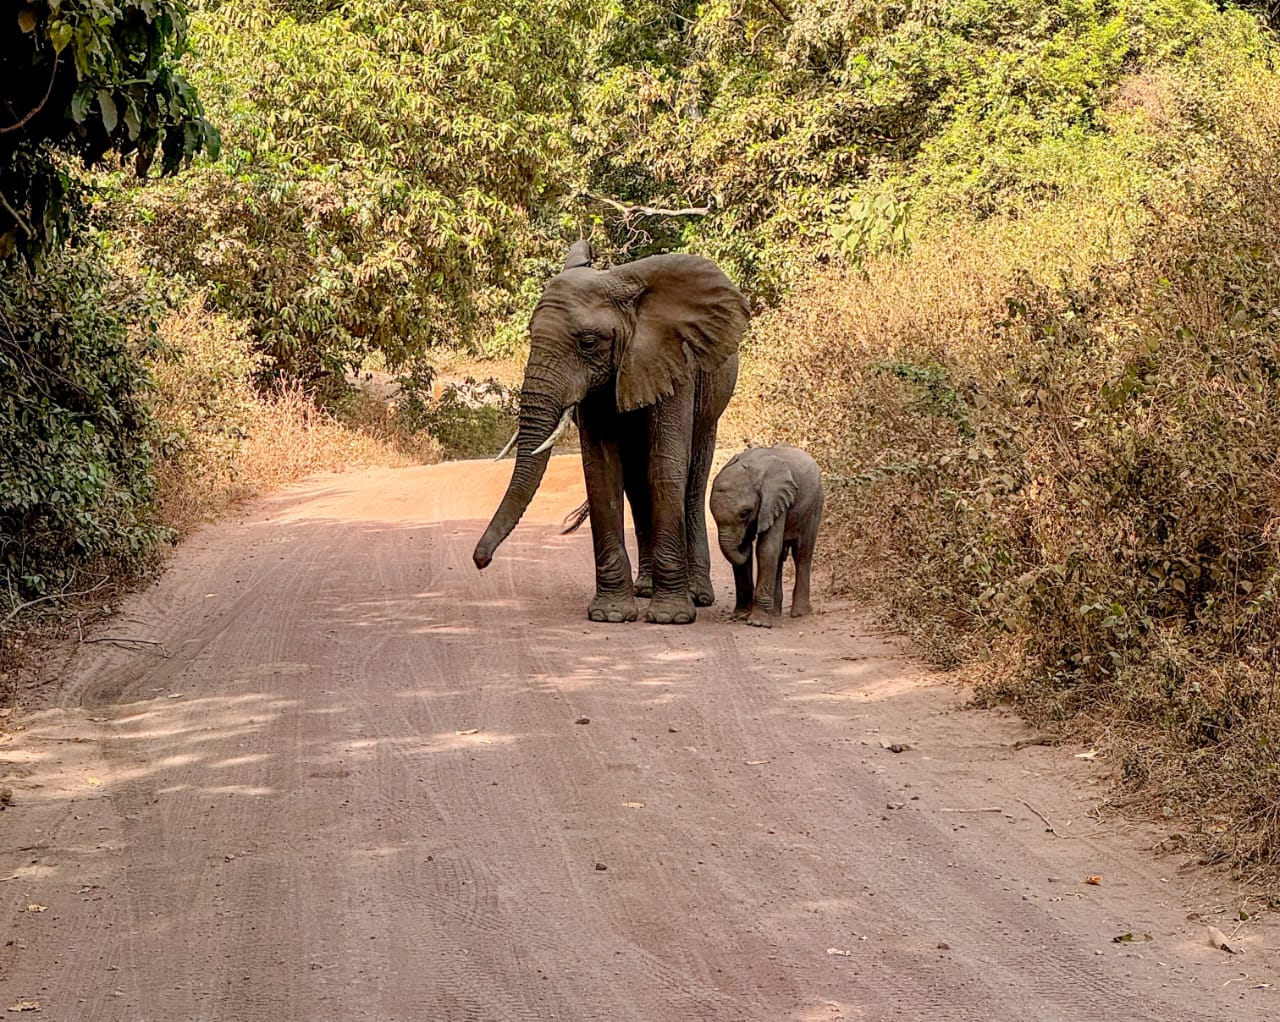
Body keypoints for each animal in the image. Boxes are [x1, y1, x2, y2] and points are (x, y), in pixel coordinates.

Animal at [473, 241, 750, 624]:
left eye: (588, 343)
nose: (480, 561)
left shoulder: (675, 364)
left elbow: (666, 468)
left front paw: (670, 617)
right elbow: (601, 472)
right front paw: (611, 615)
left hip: (712, 400)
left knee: (692, 481)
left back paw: (697, 595)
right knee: (637, 484)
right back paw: (645, 589)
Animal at [709, 444, 824, 627]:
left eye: (745, 513)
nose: (745, 541)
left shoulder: (776, 498)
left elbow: (767, 550)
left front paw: (758, 623)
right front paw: (740, 616)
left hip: (815, 504)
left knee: (802, 553)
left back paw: (799, 613)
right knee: (781, 557)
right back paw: (775, 613)